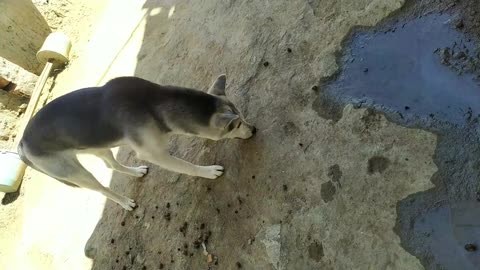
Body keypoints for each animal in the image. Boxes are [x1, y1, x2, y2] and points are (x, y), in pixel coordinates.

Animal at [17, 74, 255, 211]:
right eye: (236, 125)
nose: (253, 130)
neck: (153, 103)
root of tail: (22, 142)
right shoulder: (154, 154)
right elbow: (187, 166)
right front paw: (208, 172)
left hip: (100, 147)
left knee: (111, 165)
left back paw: (135, 172)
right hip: (76, 173)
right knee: (102, 188)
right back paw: (124, 202)